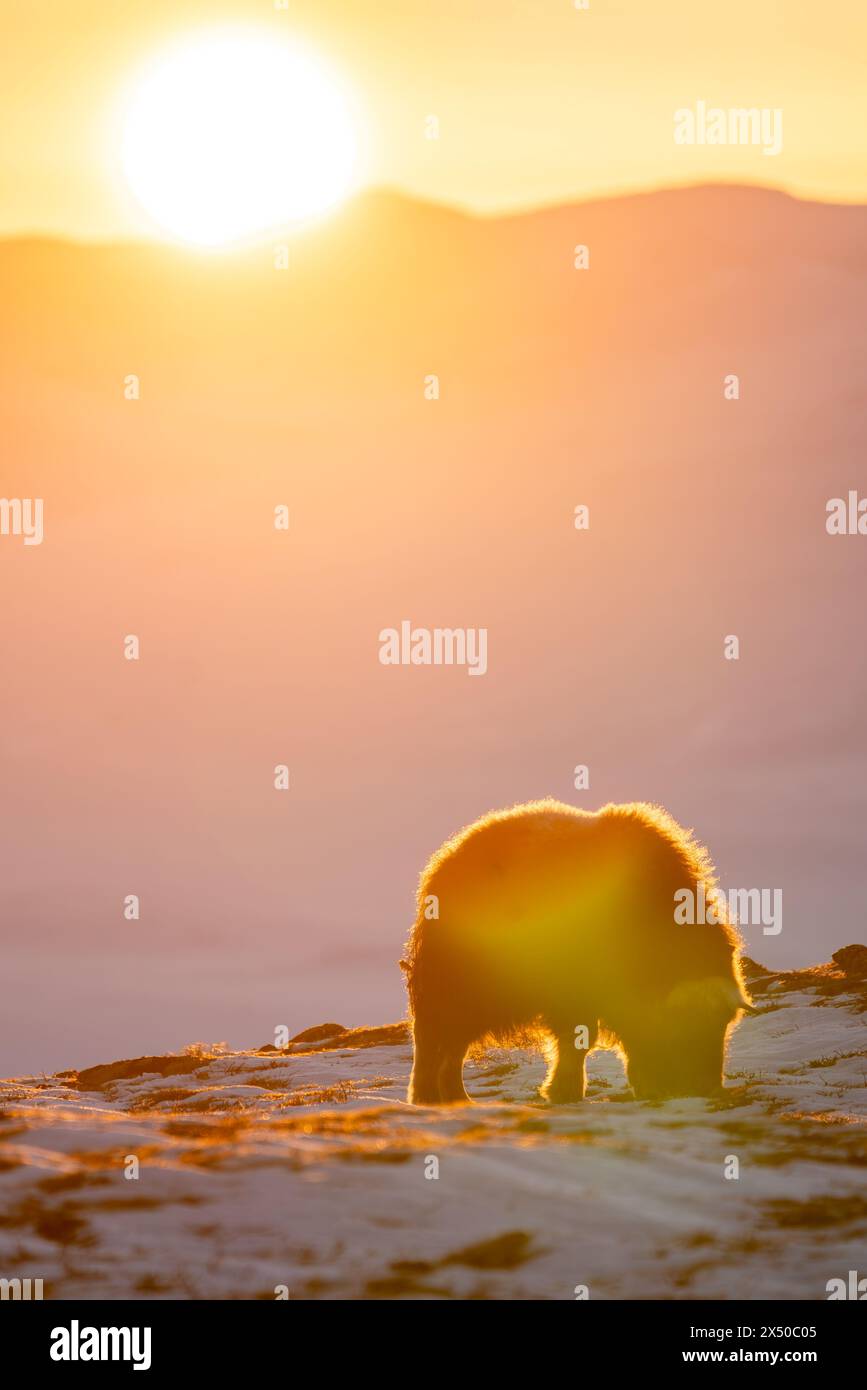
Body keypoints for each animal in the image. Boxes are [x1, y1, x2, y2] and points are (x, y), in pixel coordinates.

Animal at [402, 800, 750, 1100]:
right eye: (683, 1025)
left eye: (725, 1024)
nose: (704, 1089)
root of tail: (444, 863)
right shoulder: (572, 993)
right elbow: (578, 1040)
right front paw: (564, 1091)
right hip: (454, 988)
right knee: (431, 1039)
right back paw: (429, 1097)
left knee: (452, 1046)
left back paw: (455, 1098)